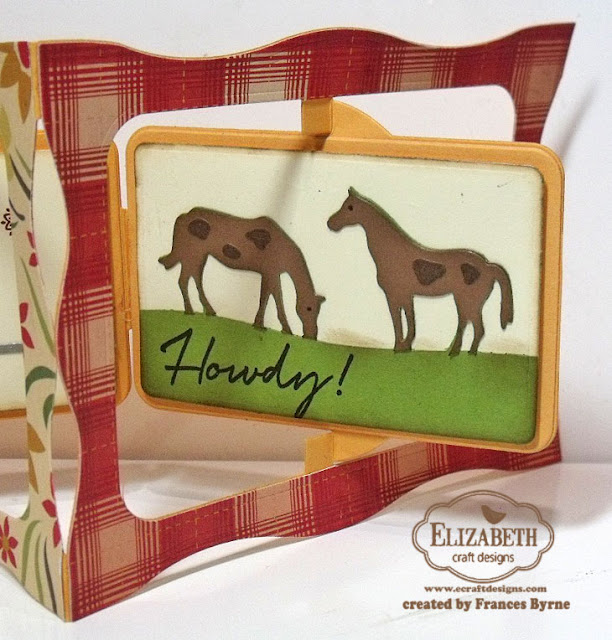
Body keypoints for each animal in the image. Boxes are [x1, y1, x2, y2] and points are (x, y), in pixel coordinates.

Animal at [159, 207, 325, 339]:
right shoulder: (270, 272)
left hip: (198, 256)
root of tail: (183, 216)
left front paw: (264, 324)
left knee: (192, 278)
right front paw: (280, 328)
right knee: (184, 280)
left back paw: (207, 311)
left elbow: (270, 296)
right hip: (193, 254)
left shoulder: (271, 274)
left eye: (318, 310)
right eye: (309, 308)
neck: (282, 251)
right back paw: (191, 311)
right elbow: (272, 297)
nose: (311, 335)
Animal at [327, 188, 513, 355]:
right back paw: (459, 352)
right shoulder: (405, 296)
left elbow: (399, 321)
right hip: (467, 302)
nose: (330, 223)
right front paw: (405, 346)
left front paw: (399, 347)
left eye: (350, 207)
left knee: (476, 327)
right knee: (472, 326)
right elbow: (408, 320)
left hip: (468, 302)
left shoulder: (393, 295)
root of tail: (488, 265)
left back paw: (460, 353)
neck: (393, 251)